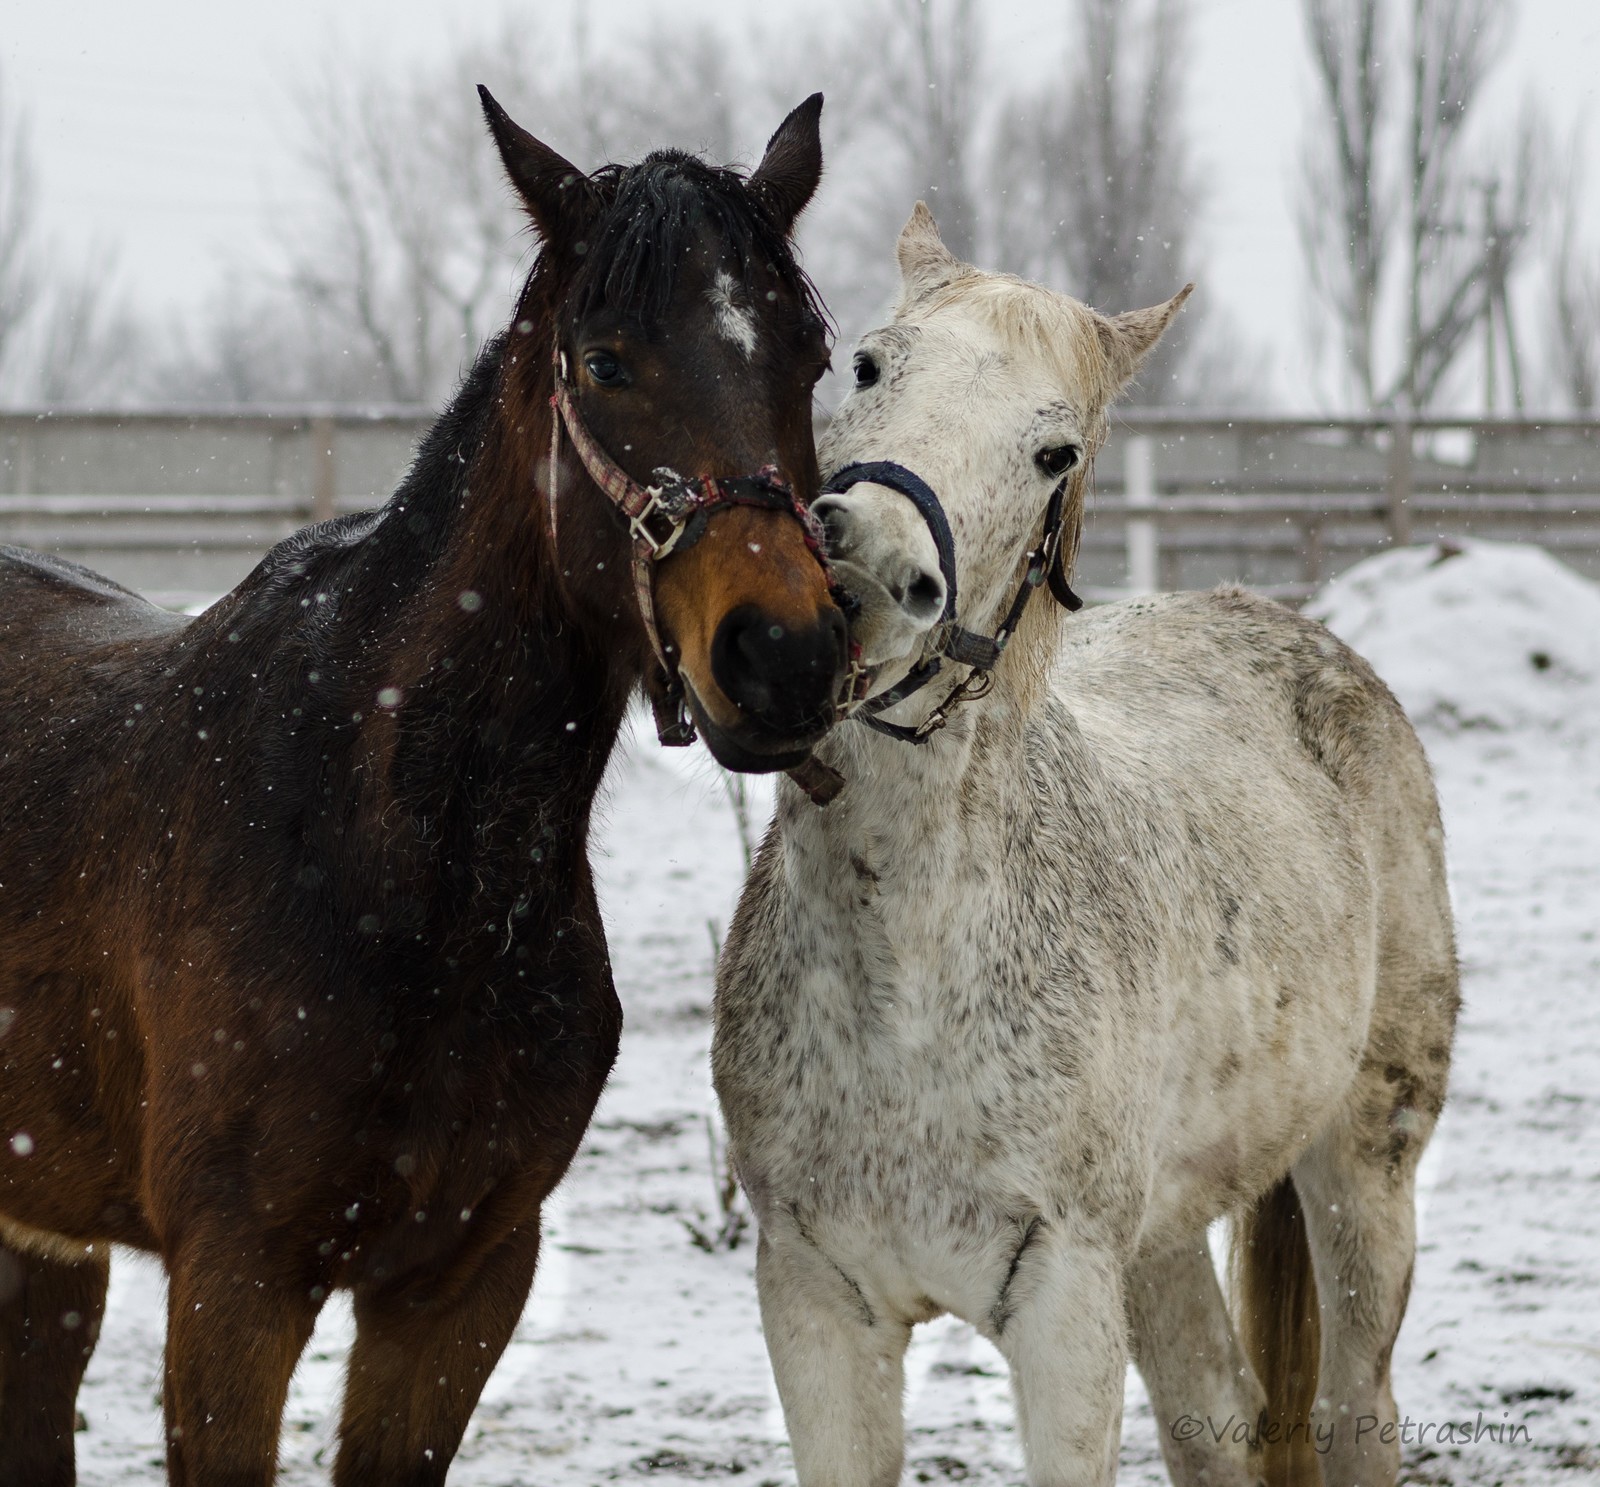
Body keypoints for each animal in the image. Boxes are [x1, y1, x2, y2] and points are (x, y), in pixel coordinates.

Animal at [713, 208, 1465, 1485]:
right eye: (865, 366)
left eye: (1054, 453)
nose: (860, 571)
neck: (906, 969)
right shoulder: (815, 1306)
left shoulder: (1062, 1308)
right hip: (1159, 1238)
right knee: (1215, 1411)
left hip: (1364, 1166)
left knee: (1352, 1407)